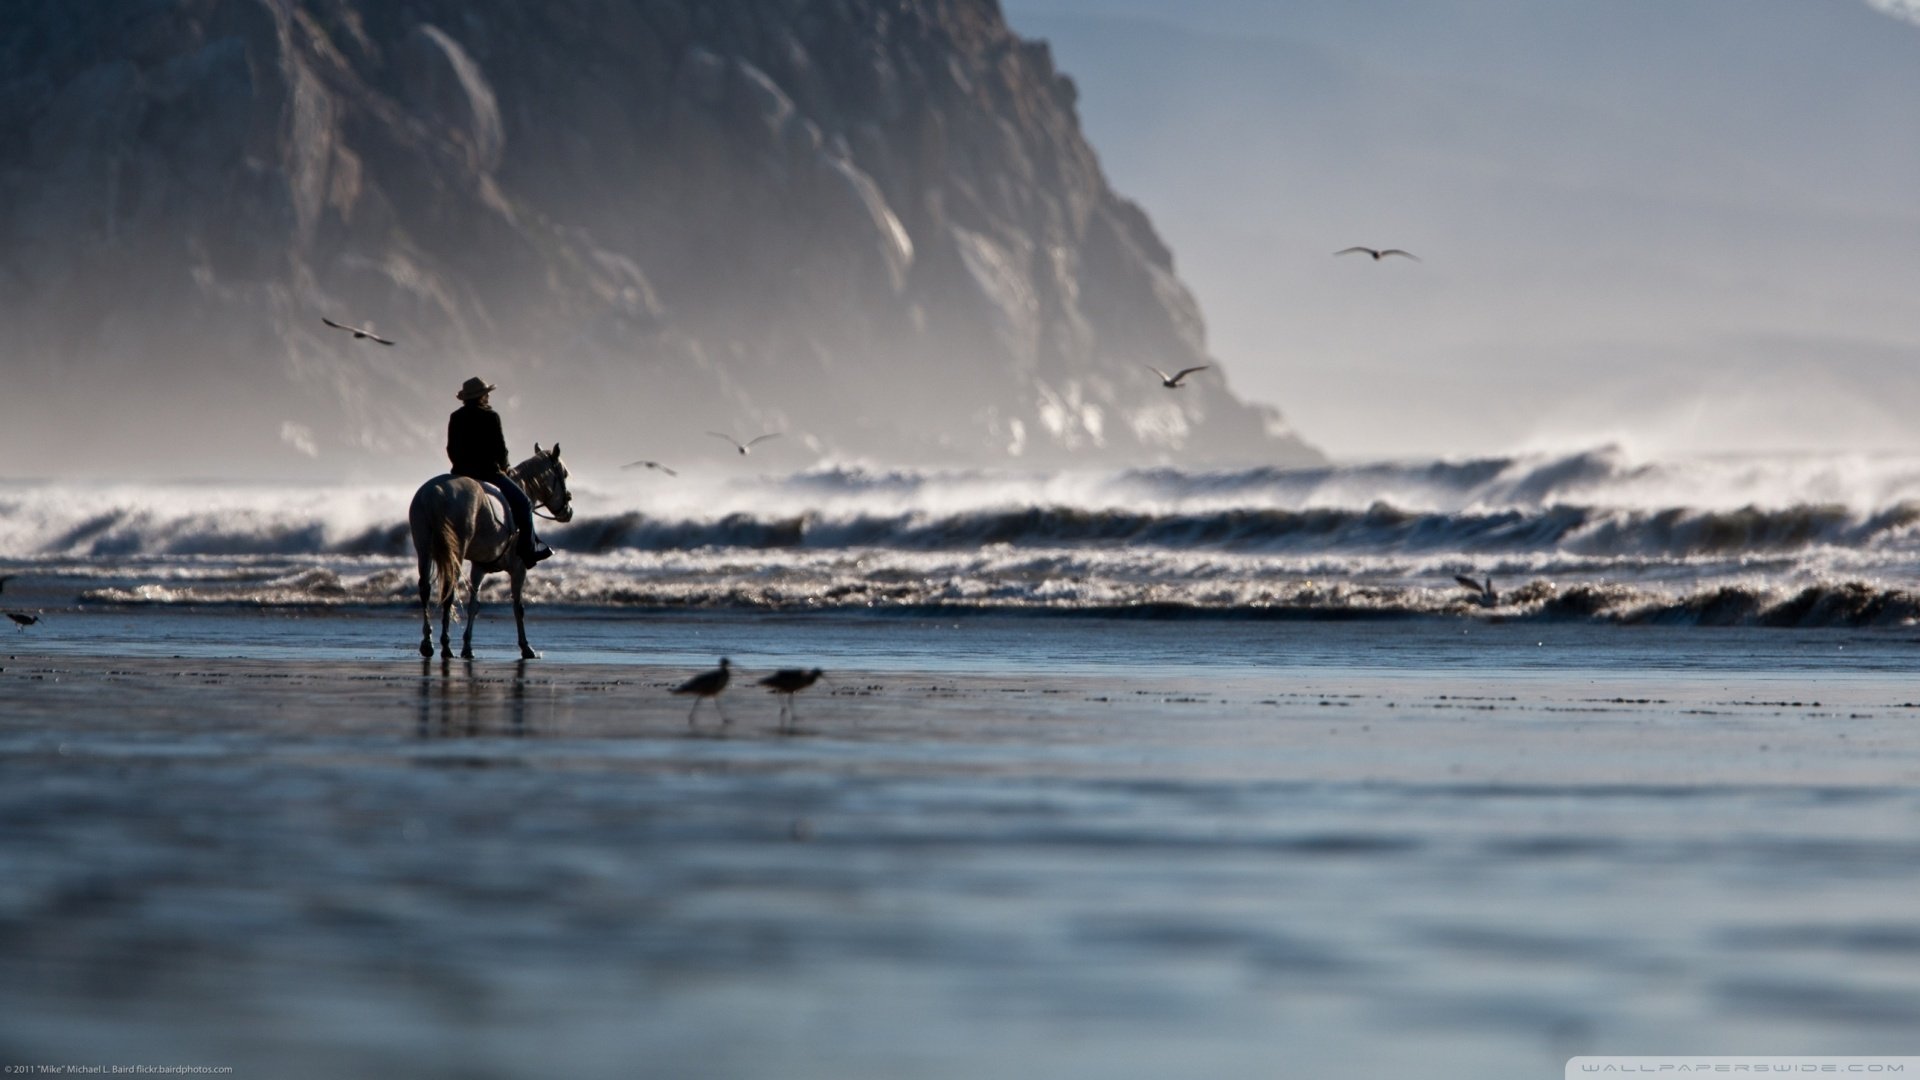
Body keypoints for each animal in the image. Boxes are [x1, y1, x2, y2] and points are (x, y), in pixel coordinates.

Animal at [408, 441, 572, 661]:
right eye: (564, 474)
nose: (568, 511)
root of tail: (434, 494)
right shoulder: (519, 567)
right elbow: (518, 607)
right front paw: (526, 647)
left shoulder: (479, 568)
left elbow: (473, 605)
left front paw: (468, 647)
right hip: (455, 551)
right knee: (449, 591)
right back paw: (445, 646)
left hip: (423, 547)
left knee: (425, 589)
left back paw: (428, 643)